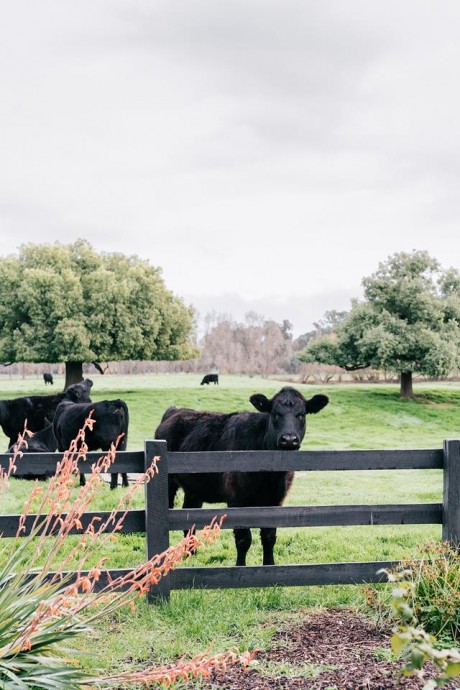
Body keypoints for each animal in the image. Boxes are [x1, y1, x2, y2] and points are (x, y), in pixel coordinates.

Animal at [155, 384, 328, 568]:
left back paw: (192, 555)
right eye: (275, 413)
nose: (289, 439)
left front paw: (269, 565)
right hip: (169, 484)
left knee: (189, 521)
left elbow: (269, 536)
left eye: (301, 414)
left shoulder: (276, 500)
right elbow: (243, 539)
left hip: (194, 490)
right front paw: (240, 567)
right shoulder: (236, 499)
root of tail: (175, 410)